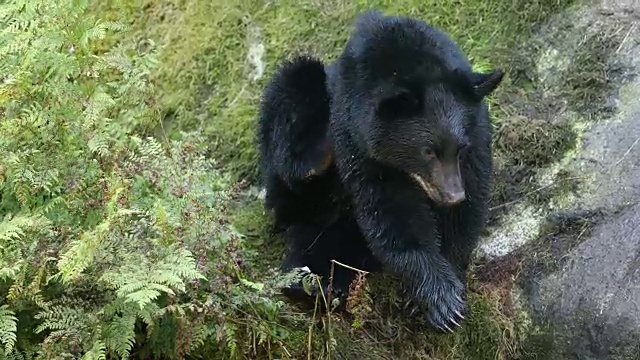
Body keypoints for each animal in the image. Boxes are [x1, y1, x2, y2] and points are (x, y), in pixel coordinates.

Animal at [255, 9, 500, 334]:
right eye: (427, 151)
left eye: (459, 148)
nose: (452, 196)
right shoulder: (358, 141)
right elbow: (389, 213)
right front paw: (440, 298)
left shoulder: (477, 138)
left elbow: (468, 207)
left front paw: (447, 287)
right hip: (289, 179)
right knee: (295, 83)